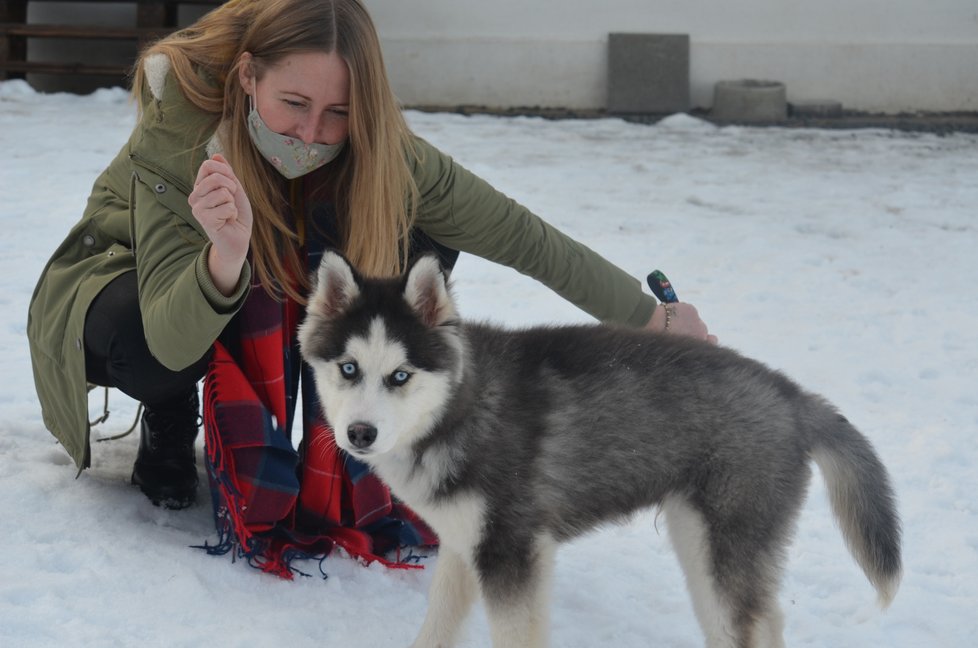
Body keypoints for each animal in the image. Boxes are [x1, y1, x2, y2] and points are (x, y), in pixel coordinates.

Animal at [296, 252, 900, 648]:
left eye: (400, 376)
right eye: (348, 368)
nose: (360, 434)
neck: (459, 409)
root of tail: (792, 394)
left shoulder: (513, 553)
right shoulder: (466, 545)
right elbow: (436, 628)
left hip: (726, 545)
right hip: (698, 541)